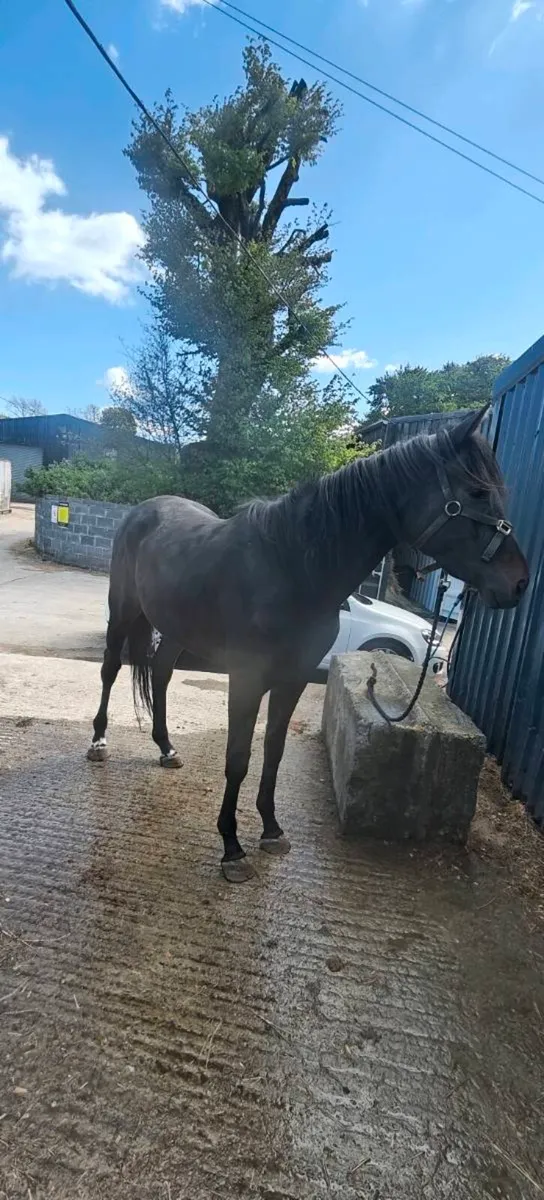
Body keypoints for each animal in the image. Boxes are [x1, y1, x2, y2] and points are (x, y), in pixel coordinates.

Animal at [87, 406, 528, 881]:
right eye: (477, 492)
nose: (519, 583)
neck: (292, 569)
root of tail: (143, 511)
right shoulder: (246, 678)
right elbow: (238, 756)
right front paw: (231, 848)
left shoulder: (294, 678)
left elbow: (274, 750)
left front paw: (271, 829)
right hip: (123, 611)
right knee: (110, 669)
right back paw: (98, 743)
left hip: (174, 628)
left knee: (162, 672)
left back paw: (166, 748)